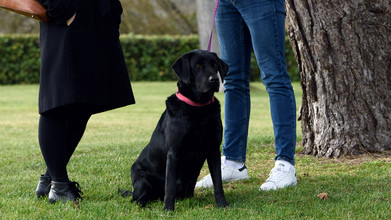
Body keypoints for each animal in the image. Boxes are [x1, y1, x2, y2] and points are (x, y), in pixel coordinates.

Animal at [130, 49, 231, 211]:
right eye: (197, 66)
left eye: (215, 65)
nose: (214, 80)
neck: (199, 108)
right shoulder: (174, 153)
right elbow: (170, 186)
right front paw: (168, 209)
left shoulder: (214, 150)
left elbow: (218, 182)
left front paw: (222, 204)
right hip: (142, 178)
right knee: (137, 199)